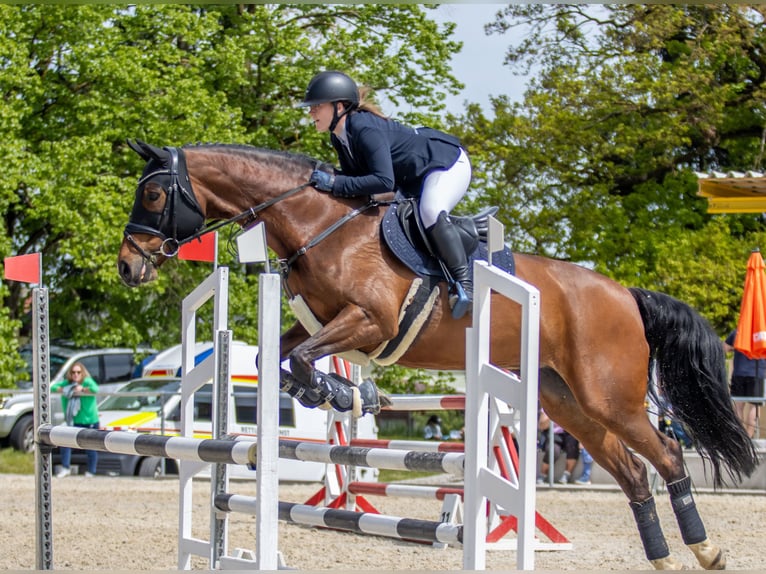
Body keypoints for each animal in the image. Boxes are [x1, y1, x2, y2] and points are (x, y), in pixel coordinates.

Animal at [117, 143, 760, 572]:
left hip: (610, 397)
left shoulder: (369, 321)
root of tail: (625, 292)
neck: (321, 224)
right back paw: (664, 557)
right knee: (631, 473)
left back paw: (705, 548)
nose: (127, 267)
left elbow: (300, 361)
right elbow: (282, 360)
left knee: (668, 455)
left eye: (153, 193)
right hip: (567, 401)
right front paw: (342, 393)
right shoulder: (323, 325)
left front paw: (339, 391)